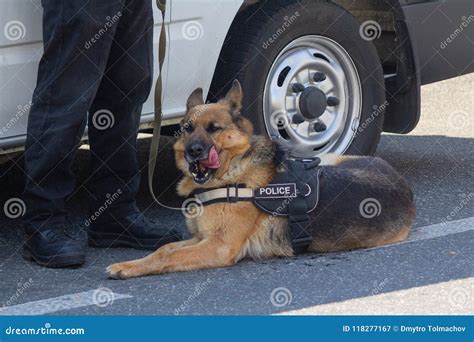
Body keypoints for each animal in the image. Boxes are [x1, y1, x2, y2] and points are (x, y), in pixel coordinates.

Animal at [106, 81, 414, 280]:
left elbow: (168, 256)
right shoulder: (200, 238)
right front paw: (130, 263)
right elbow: (165, 249)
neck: (232, 172)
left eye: (214, 128)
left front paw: (130, 268)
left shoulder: (218, 247)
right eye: (187, 128)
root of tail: (404, 186)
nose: (194, 152)